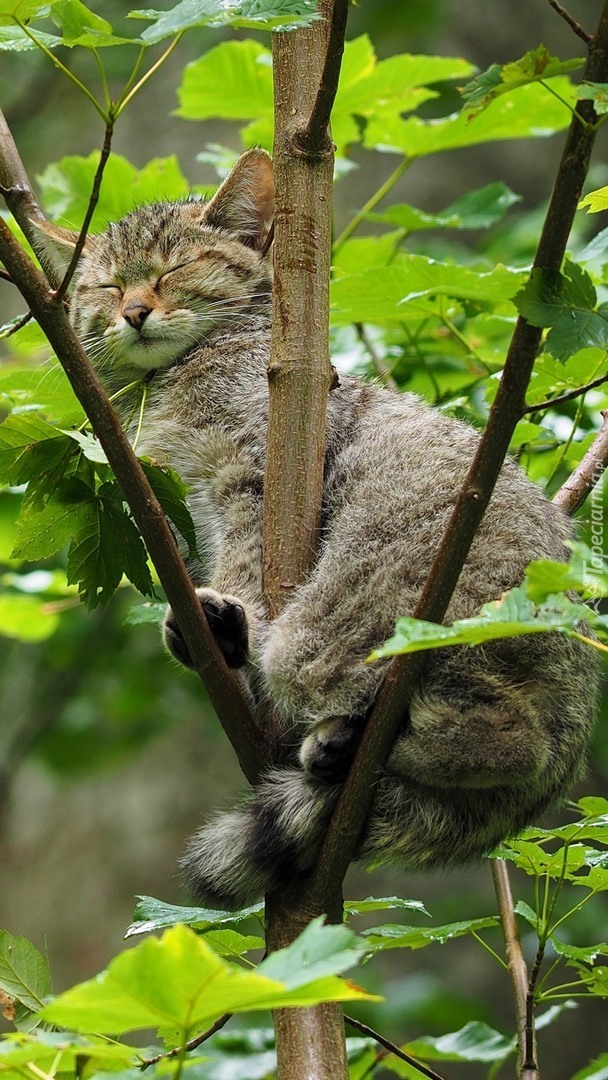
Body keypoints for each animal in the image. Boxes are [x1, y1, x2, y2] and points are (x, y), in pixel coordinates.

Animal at [41, 150, 600, 911]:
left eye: (173, 268)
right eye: (105, 284)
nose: (133, 311)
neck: (175, 381)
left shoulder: (249, 469)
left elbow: (245, 559)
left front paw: (233, 611)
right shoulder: (185, 506)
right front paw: (209, 633)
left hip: (350, 631)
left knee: (510, 738)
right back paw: (339, 745)